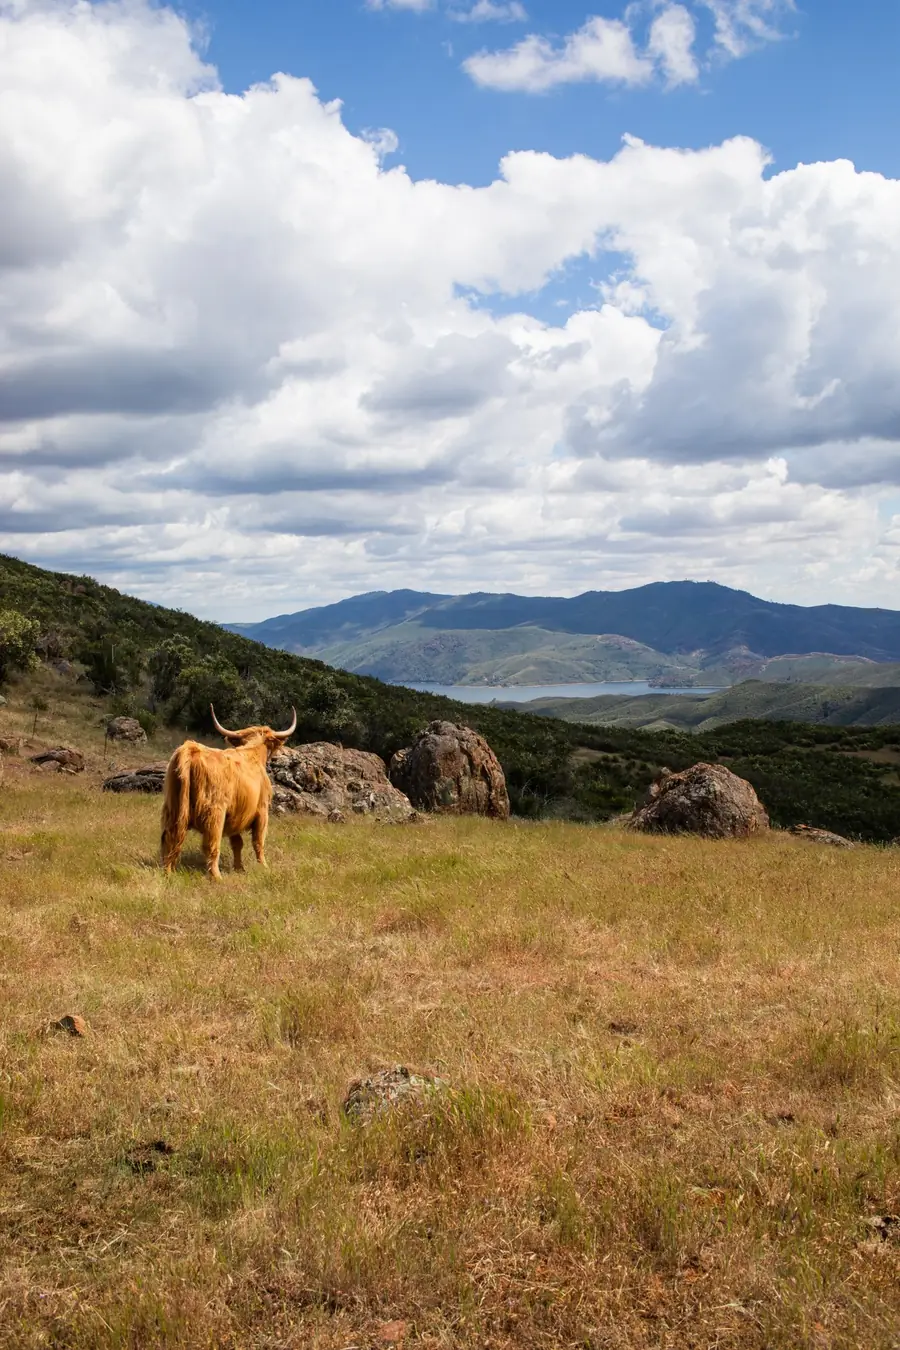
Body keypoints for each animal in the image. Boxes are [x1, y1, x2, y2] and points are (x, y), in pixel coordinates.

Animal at [160, 704, 296, 880]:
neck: (252, 754)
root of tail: (191, 749)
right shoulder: (262, 810)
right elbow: (258, 842)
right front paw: (264, 867)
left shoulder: (236, 814)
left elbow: (237, 843)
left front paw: (239, 868)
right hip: (215, 812)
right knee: (211, 845)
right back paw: (217, 877)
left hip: (173, 807)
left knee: (170, 837)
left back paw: (168, 872)